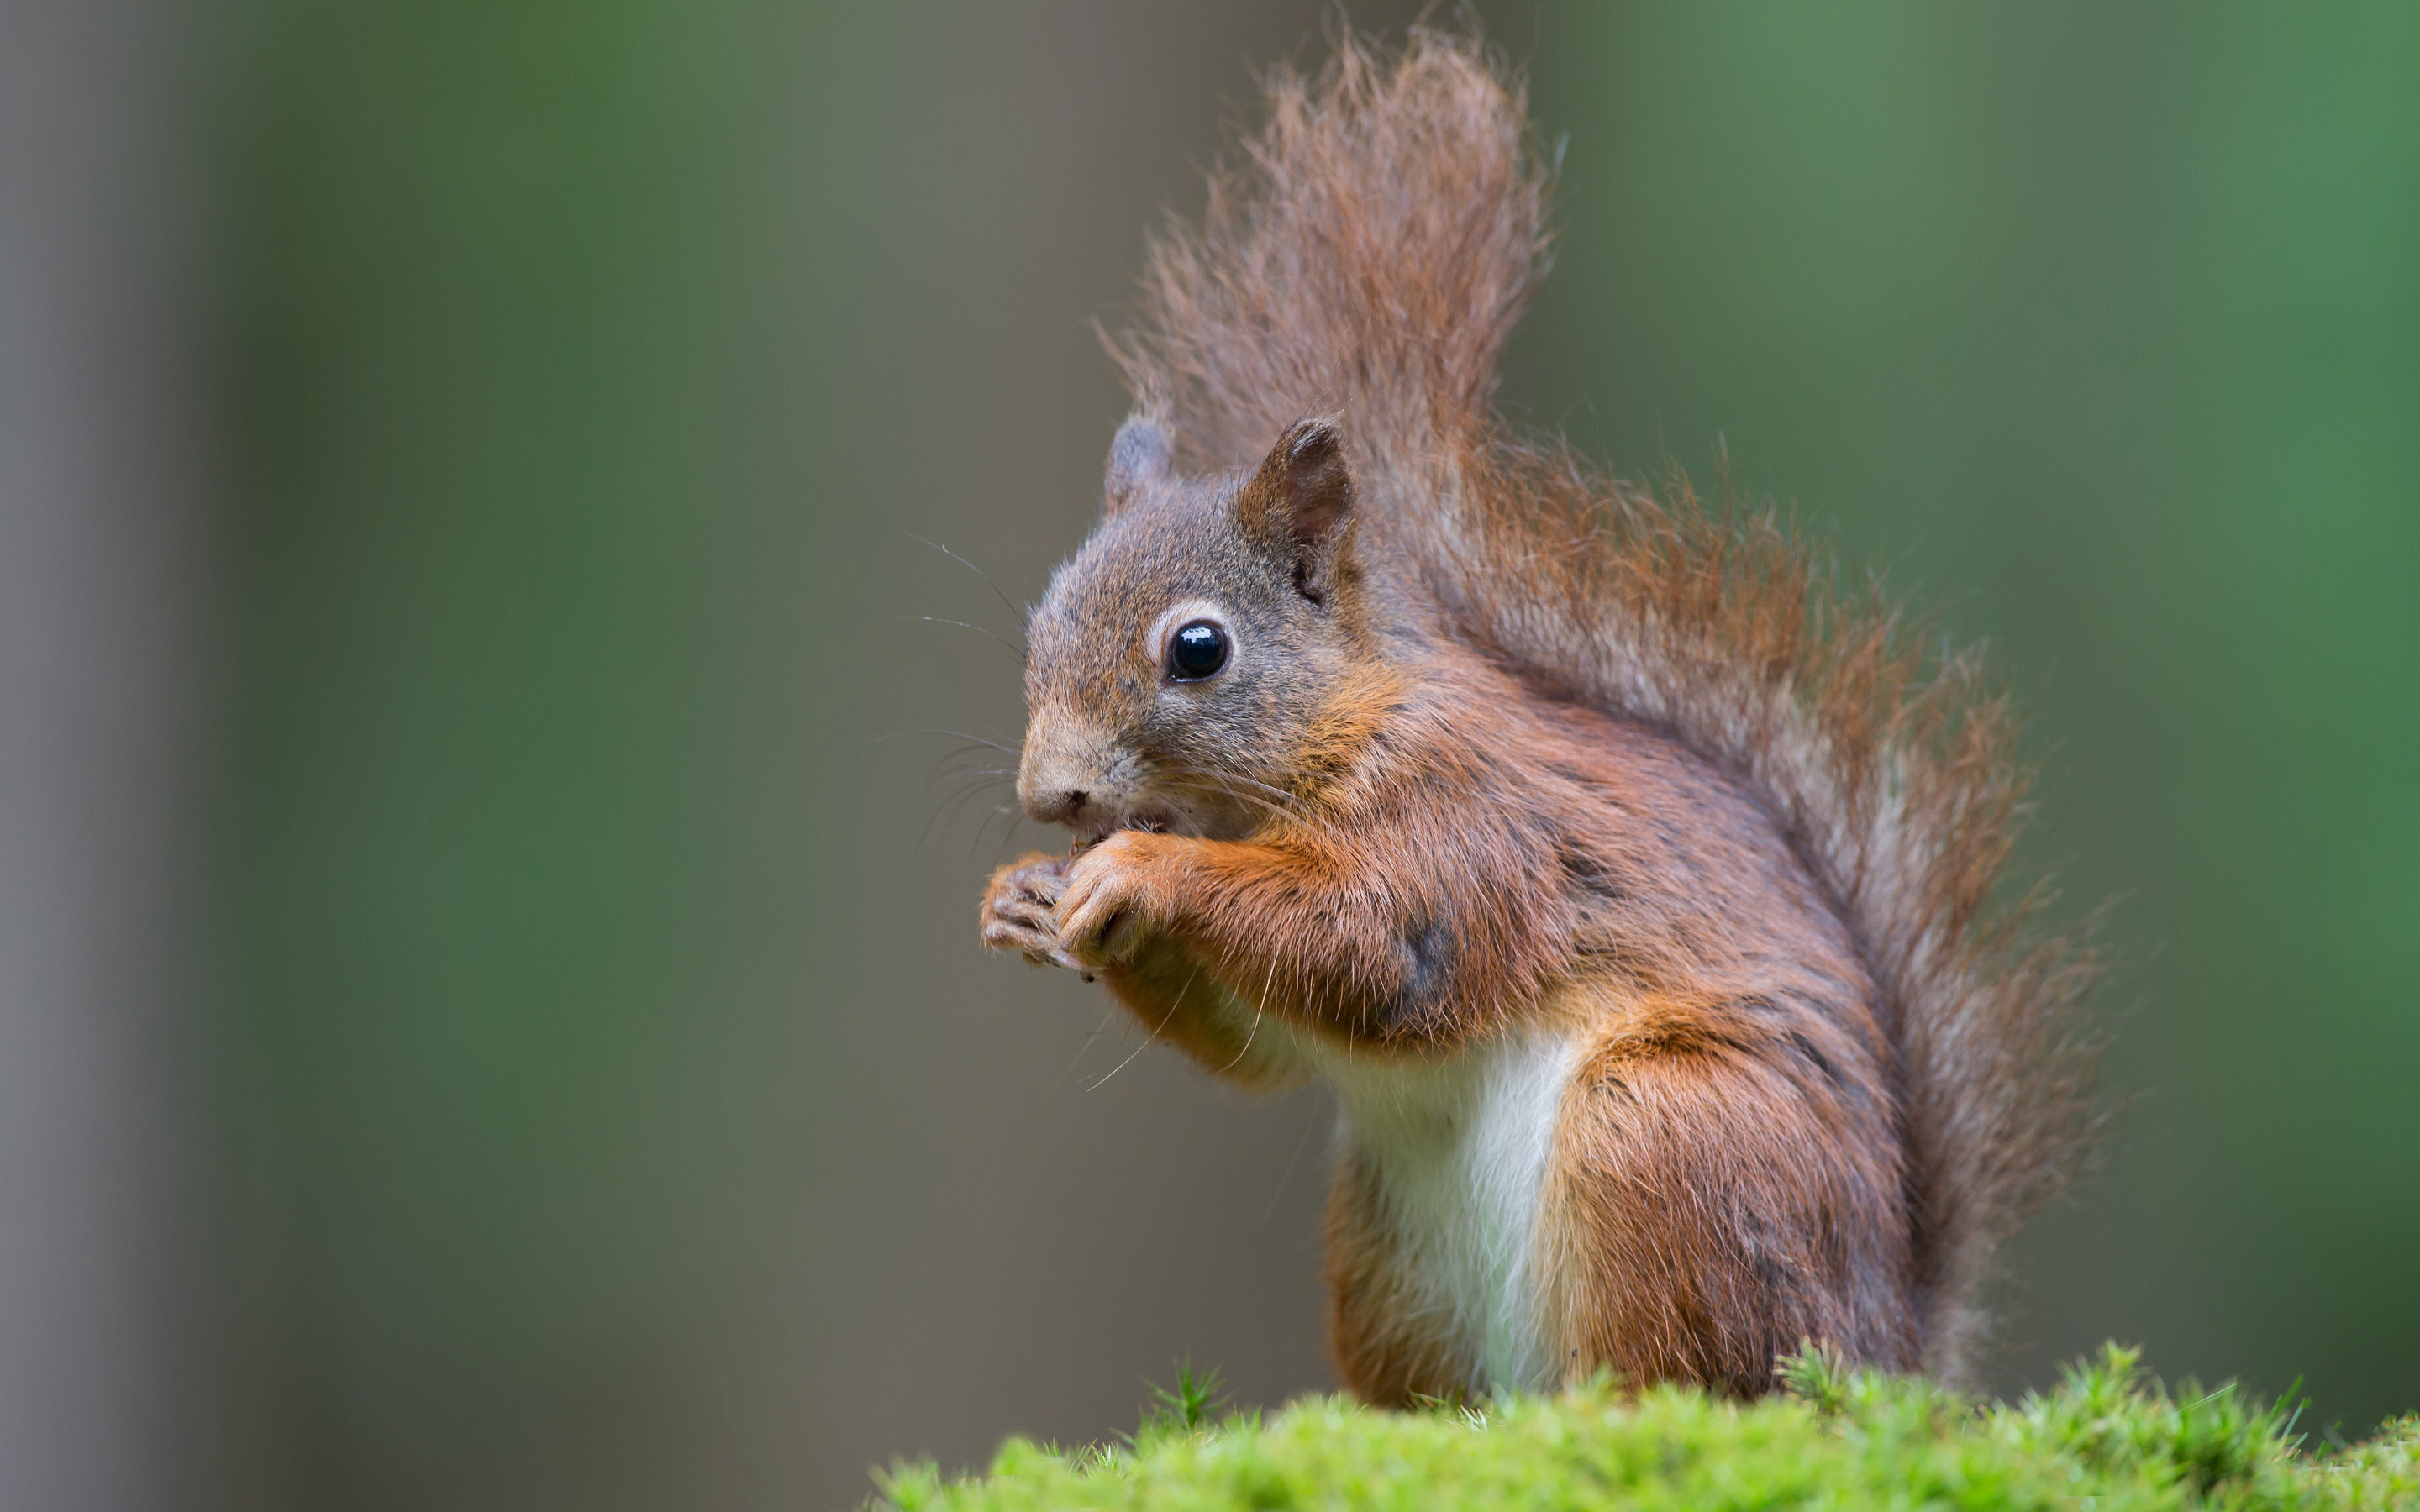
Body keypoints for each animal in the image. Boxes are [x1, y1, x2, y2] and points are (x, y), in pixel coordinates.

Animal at [977, 32, 2100, 1403]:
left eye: (1199, 649)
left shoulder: (1470, 821)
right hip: (1387, 1253)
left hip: (1666, 1138)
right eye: (1037, 623)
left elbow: (1372, 948)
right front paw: (1022, 897)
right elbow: (1259, 1047)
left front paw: (1142, 869)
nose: (1051, 796)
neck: (1314, 753)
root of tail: (1880, 1347)